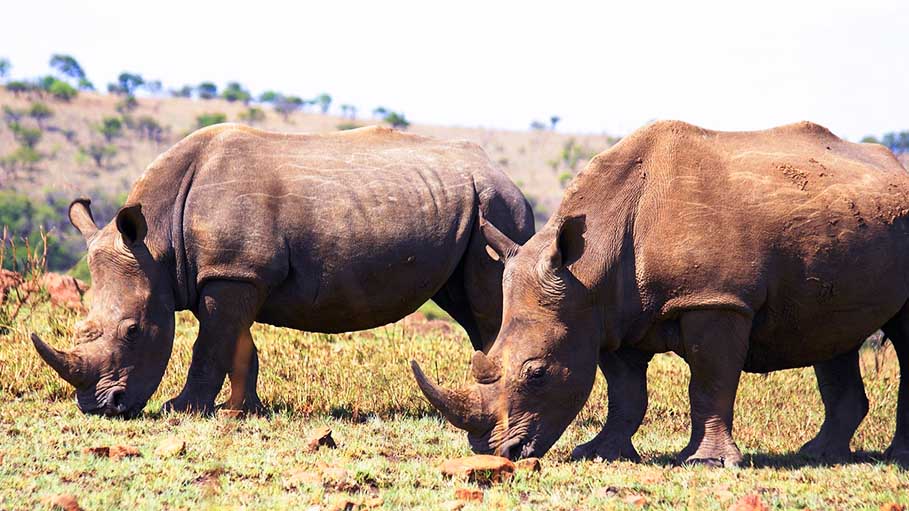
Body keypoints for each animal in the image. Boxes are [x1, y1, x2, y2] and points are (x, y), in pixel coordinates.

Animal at [33, 124, 534, 417]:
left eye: (134, 330)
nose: (100, 407)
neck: (157, 242)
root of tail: (504, 174)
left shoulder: (232, 272)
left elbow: (208, 346)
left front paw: (183, 409)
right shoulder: (239, 273)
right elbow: (239, 345)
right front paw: (243, 411)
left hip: (496, 208)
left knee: (485, 306)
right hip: (469, 209)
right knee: (466, 306)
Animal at [412, 120, 909, 466]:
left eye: (537, 374)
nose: (497, 453)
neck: (589, 264)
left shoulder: (716, 299)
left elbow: (708, 383)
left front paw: (707, 462)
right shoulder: (605, 313)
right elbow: (626, 392)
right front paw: (599, 452)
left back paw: (891, 458)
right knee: (833, 332)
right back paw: (819, 454)